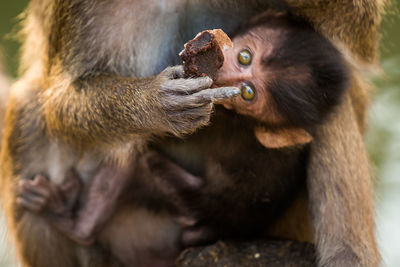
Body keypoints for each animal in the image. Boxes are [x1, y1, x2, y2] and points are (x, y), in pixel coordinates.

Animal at [0, 0, 384, 267]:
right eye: (244, 56)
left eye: (248, 92)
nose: (227, 75)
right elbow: (63, 101)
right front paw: (155, 104)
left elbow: (359, 43)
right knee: (32, 110)